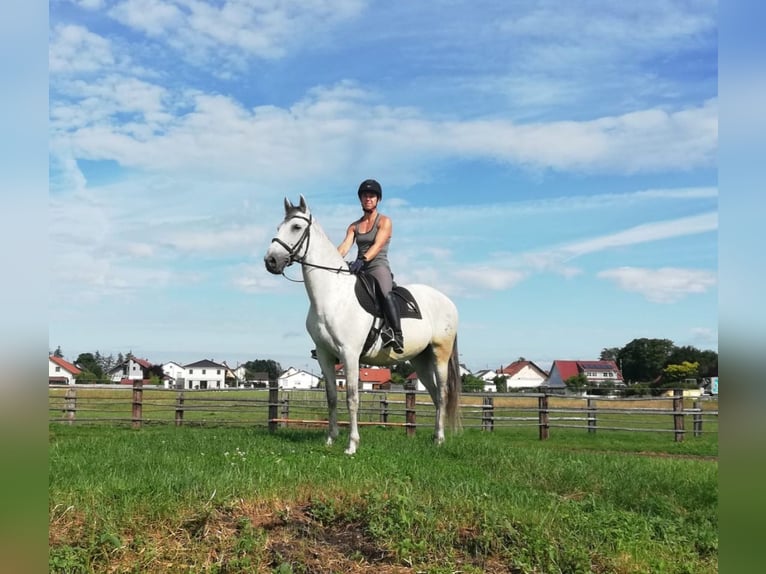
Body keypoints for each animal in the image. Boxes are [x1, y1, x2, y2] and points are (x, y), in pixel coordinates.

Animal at [264, 196, 462, 456]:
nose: (271, 261)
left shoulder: (350, 354)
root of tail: (448, 301)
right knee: (433, 394)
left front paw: (351, 445)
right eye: (279, 227)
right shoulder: (326, 355)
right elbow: (332, 397)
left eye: (296, 227)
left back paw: (439, 439)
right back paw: (434, 438)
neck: (333, 294)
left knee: (441, 393)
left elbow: (352, 398)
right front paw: (330, 439)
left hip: (440, 354)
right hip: (420, 359)